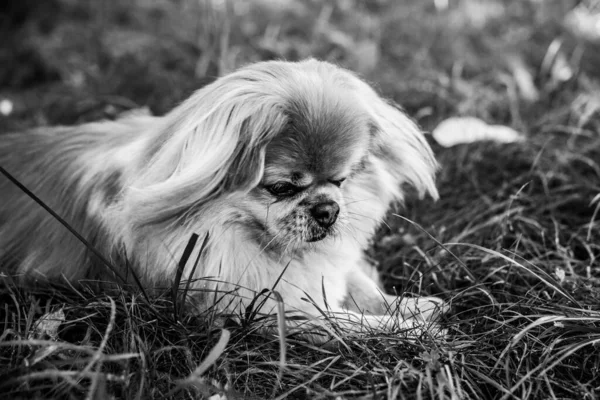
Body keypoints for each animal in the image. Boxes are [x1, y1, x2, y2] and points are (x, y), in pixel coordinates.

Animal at [0, 59, 448, 338]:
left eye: (341, 180)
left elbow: (357, 284)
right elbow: (337, 320)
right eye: (283, 188)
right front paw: (405, 330)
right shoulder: (258, 309)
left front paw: (408, 306)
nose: (328, 209)